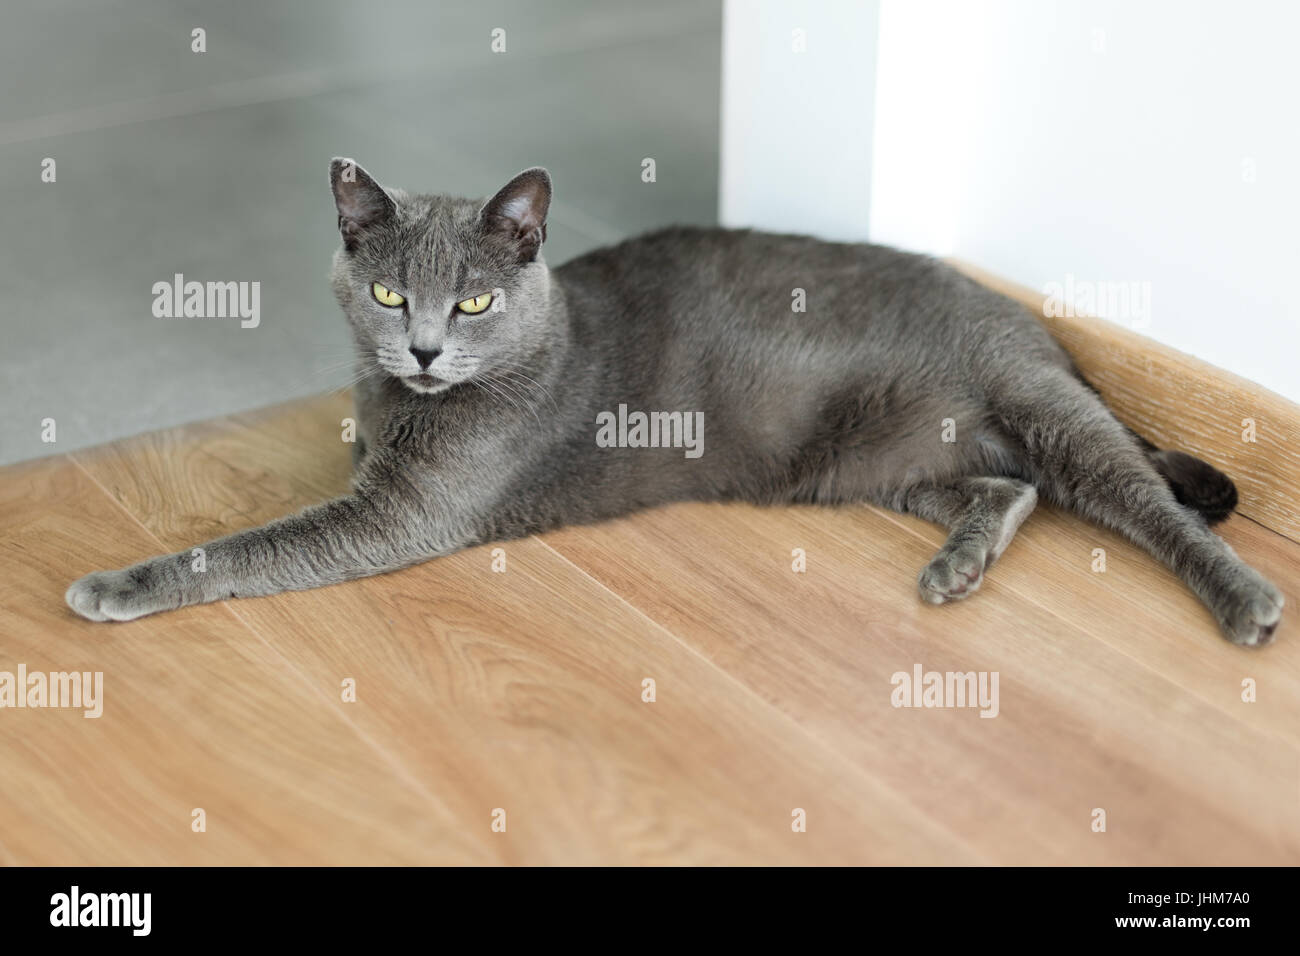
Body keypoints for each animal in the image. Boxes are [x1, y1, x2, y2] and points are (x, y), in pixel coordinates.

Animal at [65, 160, 1284, 647]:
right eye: (385, 292)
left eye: (472, 300)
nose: (420, 349)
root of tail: (1037, 324)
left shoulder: (401, 513)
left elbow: (248, 546)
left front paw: (113, 585)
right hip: (879, 464)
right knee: (1008, 486)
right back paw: (961, 563)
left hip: (1039, 405)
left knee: (1146, 503)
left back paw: (1243, 601)